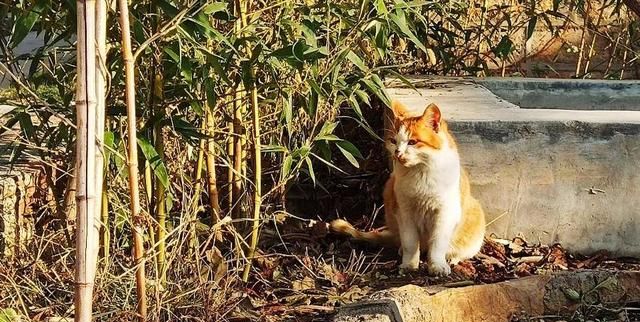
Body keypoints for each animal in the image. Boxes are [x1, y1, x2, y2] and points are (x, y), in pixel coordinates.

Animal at [330, 100, 484, 274]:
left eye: (412, 142)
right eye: (393, 141)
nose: (398, 153)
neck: (420, 175)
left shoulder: (444, 214)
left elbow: (438, 244)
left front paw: (437, 265)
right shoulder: (404, 212)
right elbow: (410, 243)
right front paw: (409, 265)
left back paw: (452, 258)